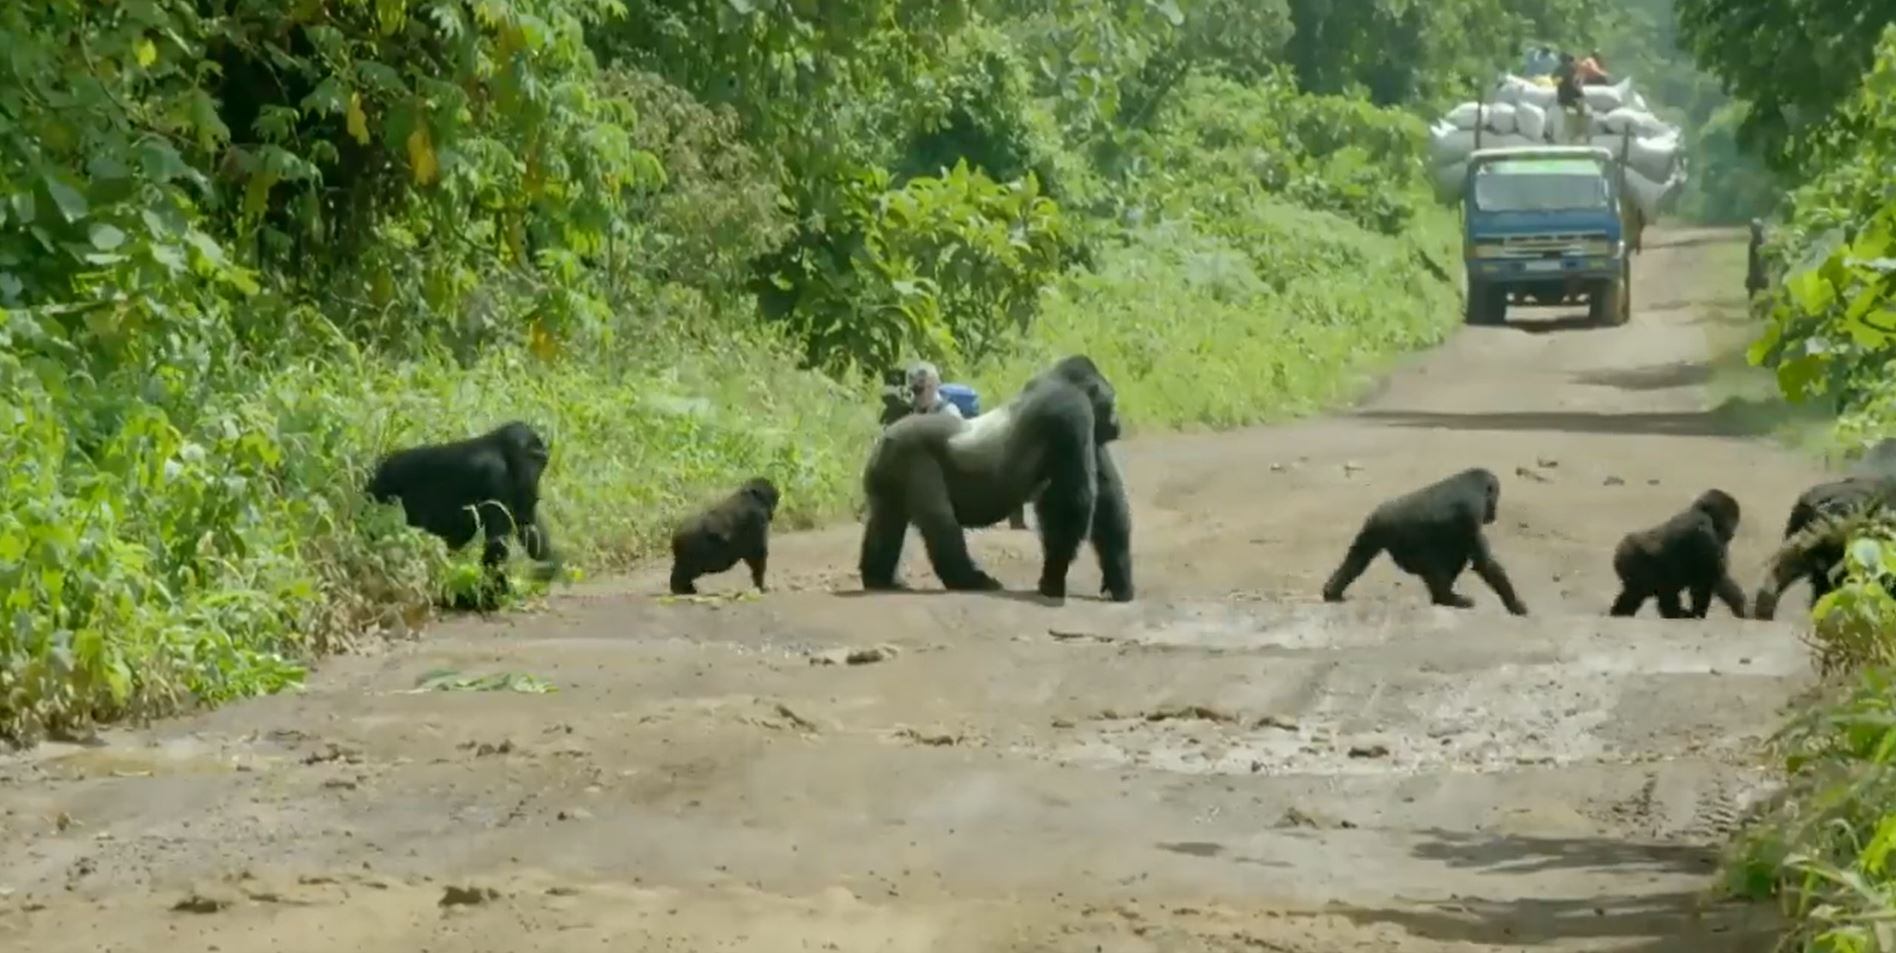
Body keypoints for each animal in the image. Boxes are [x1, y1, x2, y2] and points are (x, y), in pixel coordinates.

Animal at [364, 422, 553, 610]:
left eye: (542, 463)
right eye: (533, 459)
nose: (535, 481)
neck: (501, 451)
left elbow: (526, 527)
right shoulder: (496, 474)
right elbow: (496, 547)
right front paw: (490, 596)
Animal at [856, 354, 1130, 598]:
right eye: (1112, 401)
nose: (1118, 423)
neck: (1063, 381)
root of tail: (882, 441)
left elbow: (1105, 502)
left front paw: (1119, 577)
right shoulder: (1071, 412)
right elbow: (1071, 501)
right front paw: (1053, 578)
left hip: (887, 471)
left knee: (886, 520)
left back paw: (878, 577)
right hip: (911, 455)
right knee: (940, 522)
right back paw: (968, 580)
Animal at [1327, 469, 1531, 617]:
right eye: (1495, 495)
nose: (1494, 514)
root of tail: (1383, 514)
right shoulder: (1472, 512)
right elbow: (1486, 564)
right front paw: (1515, 604)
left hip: (1373, 529)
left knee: (1356, 561)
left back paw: (1331, 592)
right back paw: (1446, 598)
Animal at [1615, 488, 1744, 621]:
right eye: (1730, 518)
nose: (1732, 532)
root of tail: (1620, 549)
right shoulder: (1703, 527)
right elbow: (1709, 579)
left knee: (1636, 594)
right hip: (1632, 559)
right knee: (1655, 588)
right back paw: (1675, 613)